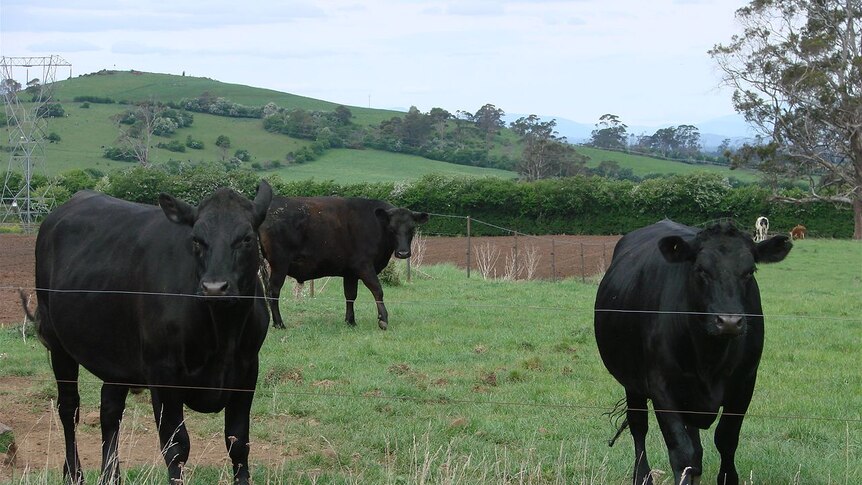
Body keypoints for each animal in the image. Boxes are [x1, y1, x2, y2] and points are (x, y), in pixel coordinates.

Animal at [33, 182, 272, 484]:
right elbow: (177, 445)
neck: (223, 333)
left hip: (116, 354)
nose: (215, 287)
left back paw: (111, 475)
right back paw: (74, 473)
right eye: (196, 240)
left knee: (109, 410)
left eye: (246, 239)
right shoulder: (164, 374)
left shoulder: (247, 370)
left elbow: (238, 441)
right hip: (58, 344)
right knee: (69, 408)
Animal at [260, 196, 428, 328]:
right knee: (273, 291)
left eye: (412, 229)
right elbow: (377, 290)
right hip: (279, 264)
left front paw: (350, 321)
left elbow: (350, 295)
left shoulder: (350, 272)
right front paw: (383, 319)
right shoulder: (364, 266)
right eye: (391, 229)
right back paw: (279, 323)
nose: (403, 253)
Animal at [596, 219, 792, 484]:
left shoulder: (744, 384)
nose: (729, 321)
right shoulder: (662, 387)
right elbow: (682, 452)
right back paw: (642, 476)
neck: (709, 357)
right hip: (632, 381)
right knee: (639, 427)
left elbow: (726, 440)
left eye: (750, 271)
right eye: (701, 270)